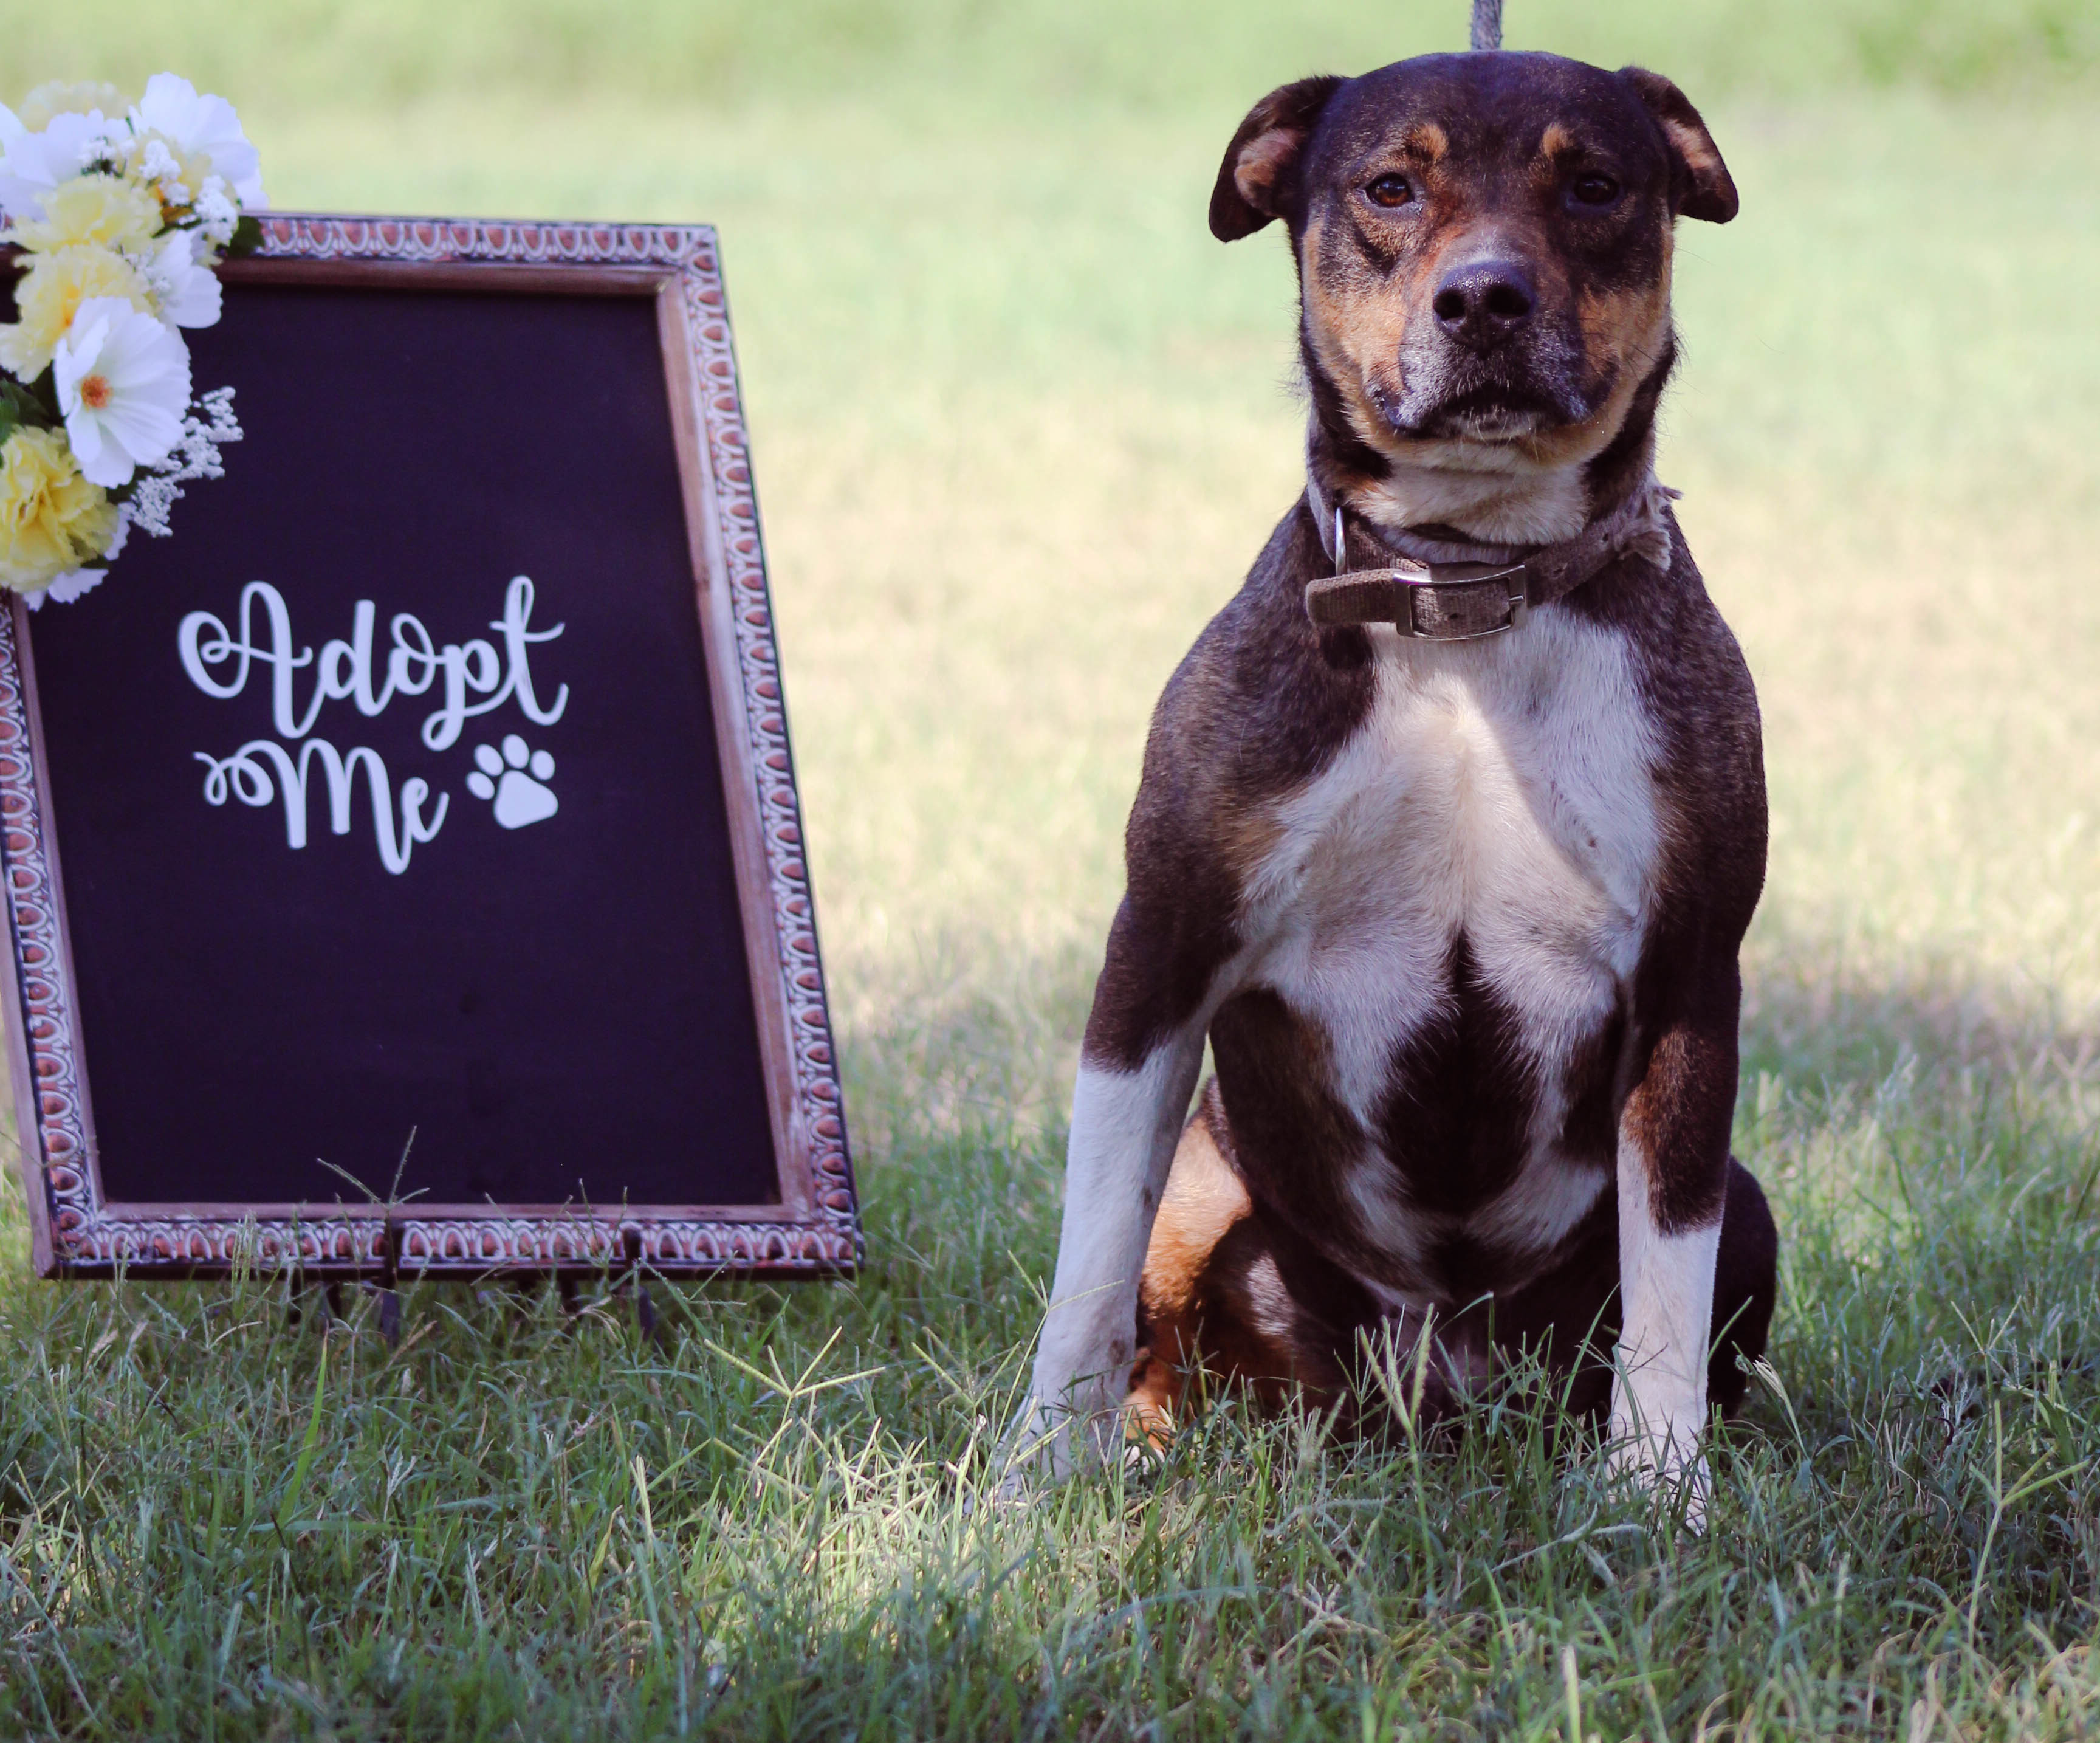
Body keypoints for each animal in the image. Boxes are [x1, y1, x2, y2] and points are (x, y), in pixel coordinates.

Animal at [1007, 47, 1780, 1511]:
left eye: (1597, 184)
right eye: (1388, 187)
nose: (1484, 297)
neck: (1465, 588)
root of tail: (1439, 1384)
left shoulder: (1688, 980)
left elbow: (1668, 1278)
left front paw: (1658, 1492)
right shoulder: (1161, 948)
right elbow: (1088, 1256)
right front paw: (1035, 1471)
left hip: (1749, 1209)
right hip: (1213, 1188)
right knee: (1161, 1320)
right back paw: (1146, 1440)